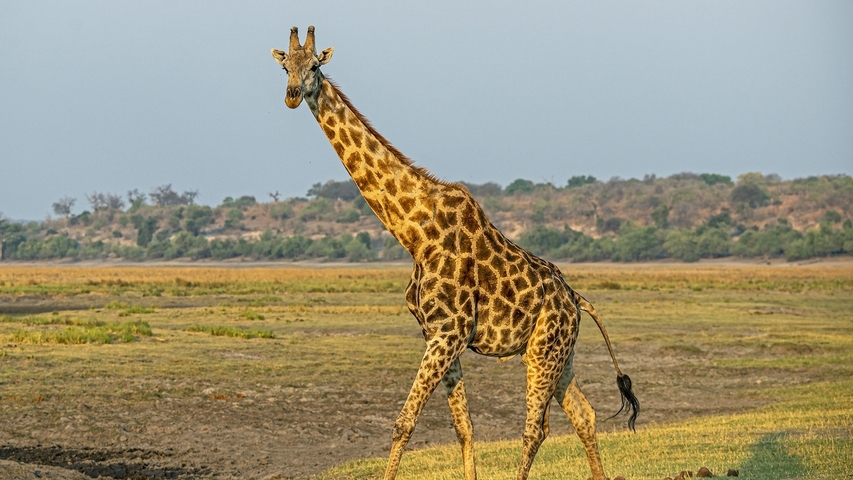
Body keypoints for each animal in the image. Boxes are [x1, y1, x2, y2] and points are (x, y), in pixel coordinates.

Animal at [271, 26, 639, 480]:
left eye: (314, 65)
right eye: (285, 66)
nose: (291, 94)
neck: (415, 234)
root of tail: (576, 299)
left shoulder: (449, 332)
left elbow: (404, 423)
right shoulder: (437, 333)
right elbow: (464, 427)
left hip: (543, 352)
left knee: (536, 430)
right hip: (559, 353)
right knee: (583, 415)